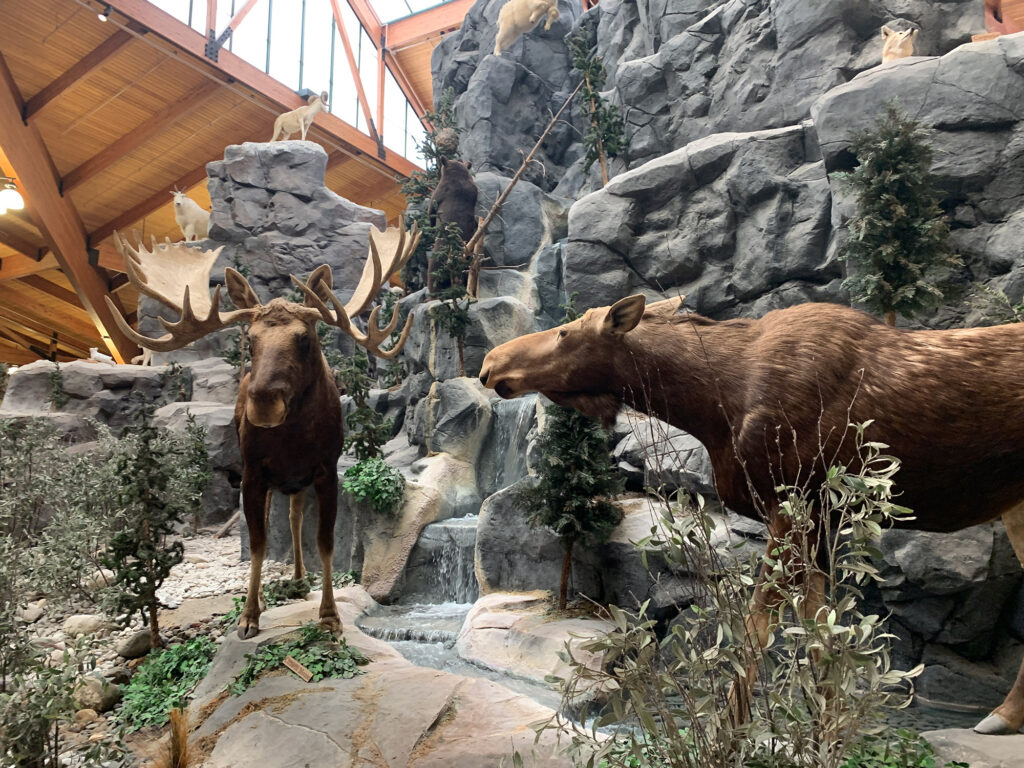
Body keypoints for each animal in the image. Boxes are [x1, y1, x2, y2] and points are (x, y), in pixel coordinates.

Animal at [107, 225, 419, 638]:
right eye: (250, 339)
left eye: (304, 338)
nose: (263, 403)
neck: (292, 443)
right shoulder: (253, 473)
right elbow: (257, 543)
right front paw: (249, 615)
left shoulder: (326, 470)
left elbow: (324, 543)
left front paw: (330, 615)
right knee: (275, 521)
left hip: (297, 482)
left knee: (295, 516)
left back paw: (301, 578)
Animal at [479, 290, 1024, 737]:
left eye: (565, 333)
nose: (488, 363)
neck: (709, 402)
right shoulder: (816, 518)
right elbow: (819, 630)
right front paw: (825, 730)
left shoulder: (793, 501)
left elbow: (758, 631)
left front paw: (734, 735)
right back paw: (1001, 717)